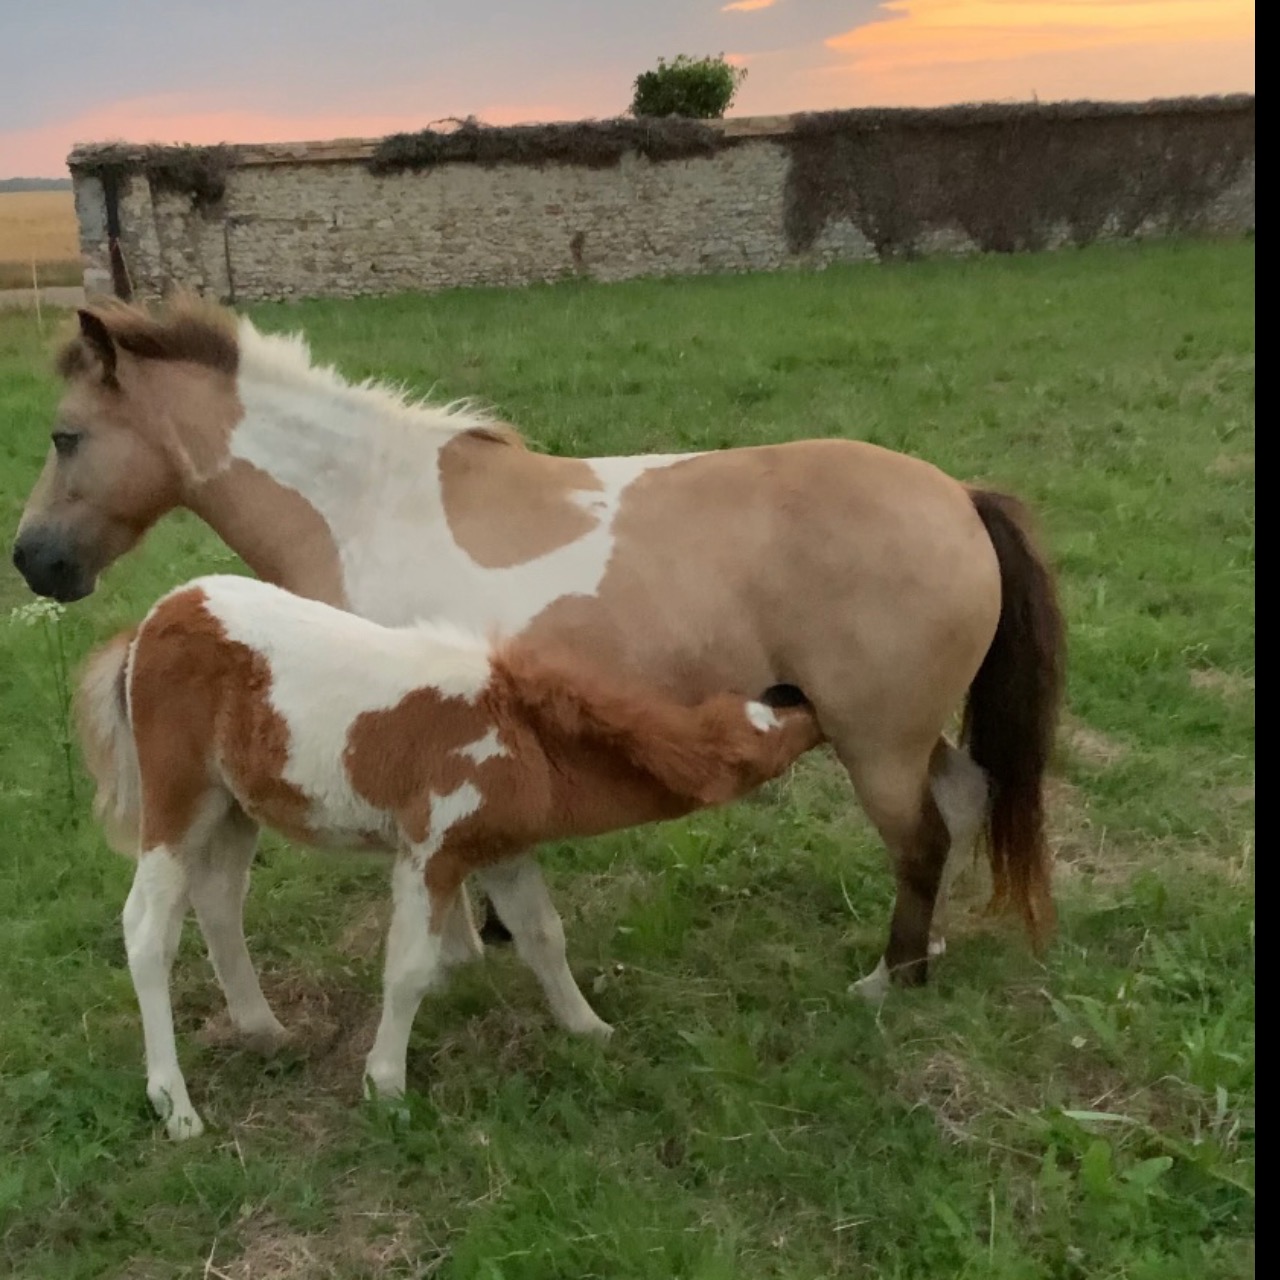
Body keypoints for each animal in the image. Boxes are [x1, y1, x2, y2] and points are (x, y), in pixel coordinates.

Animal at [12, 296, 1070, 998]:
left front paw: (455, 954)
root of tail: (959, 497)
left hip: (875, 743)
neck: (370, 504)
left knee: (921, 840)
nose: (32, 560)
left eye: (66, 437)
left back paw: (891, 982)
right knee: (965, 802)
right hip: (907, 736)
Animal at [74, 576, 819, 1136]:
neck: (523, 735)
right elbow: (408, 969)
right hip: (178, 798)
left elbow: (543, 935)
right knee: (147, 928)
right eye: (765, 740)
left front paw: (589, 1028)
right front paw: (386, 1088)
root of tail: (150, 625)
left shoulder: (503, 850)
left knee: (220, 901)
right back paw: (176, 1109)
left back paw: (264, 1032)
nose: (798, 692)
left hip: (232, 808)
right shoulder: (430, 853)